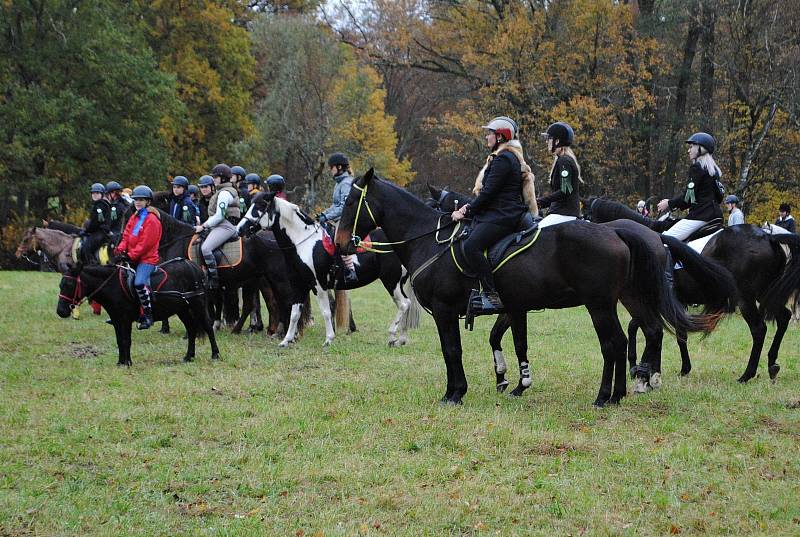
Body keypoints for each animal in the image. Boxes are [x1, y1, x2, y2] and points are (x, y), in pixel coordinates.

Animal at [55, 258, 219, 364]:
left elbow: (126, 340)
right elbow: (120, 340)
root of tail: (193, 265)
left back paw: (215, 354)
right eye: (60, 285)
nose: (61, 311)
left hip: (198, 305)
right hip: (182, 309)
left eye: (69, 284)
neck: (113, 285)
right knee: (191, 330)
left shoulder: (125, 319)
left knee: (208, 327)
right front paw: (121, 362)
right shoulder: (116, 320)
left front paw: (127, 362)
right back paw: (189, 356)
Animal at [241, 192, 422, 348]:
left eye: (260, 206)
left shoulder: (319, 286)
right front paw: (286, 340)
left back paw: (392, 336)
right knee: (407, 304)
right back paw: (401, 338)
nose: (241, 229)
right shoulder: (298, 285)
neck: (304, 243)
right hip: (397, 282)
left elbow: (326, 312)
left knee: (404, 304)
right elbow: (294, 314)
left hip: (391, 281)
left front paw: (329, 339)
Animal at [424, 186, 736, 392]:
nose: (447, 229)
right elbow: (498, 338)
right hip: (633, 298)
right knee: (653, 330)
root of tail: (654, 237)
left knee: (647, 333)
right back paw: (645, 378)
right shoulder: (514, 306)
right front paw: (504, 379)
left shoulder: (513, 305)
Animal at [580, 196, 800, 382]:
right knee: (784, 317)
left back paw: (747, 374)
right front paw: (669, 368)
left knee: (759, 329)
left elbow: (648, 328)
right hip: (765, 293)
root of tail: (767, 237)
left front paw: (644, 367)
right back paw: (772, 364)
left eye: (586, 217)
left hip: (745, 298)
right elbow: (664, 331)